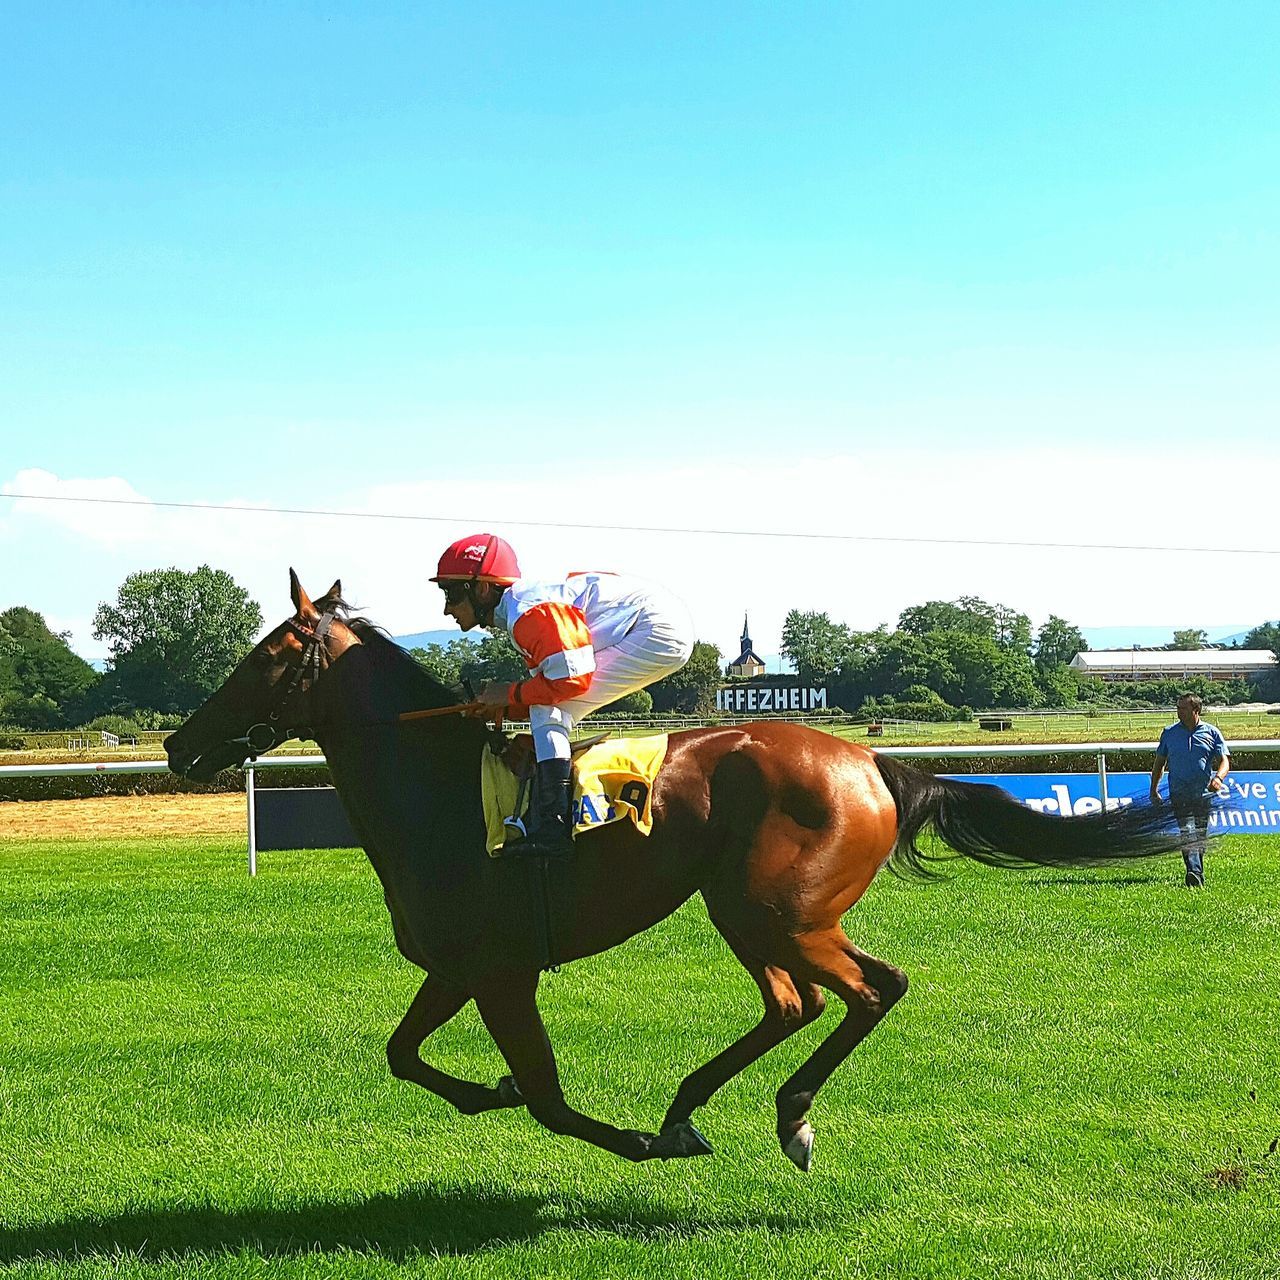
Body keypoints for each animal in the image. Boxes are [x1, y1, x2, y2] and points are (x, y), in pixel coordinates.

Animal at [165, 576, 1192, 1172]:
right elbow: (403, 1054)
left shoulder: (502, 971)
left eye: (265, 655)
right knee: (796, 1003)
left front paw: (611, 1133)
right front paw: (493, 1092)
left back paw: (781, 1115)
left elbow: (545, 1098)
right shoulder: (456, 968)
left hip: (776, 909)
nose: (179, 745)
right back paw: (697, 1107)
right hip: (749, 910)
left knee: (870, 989)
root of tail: (873, 763)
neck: (443, 797)